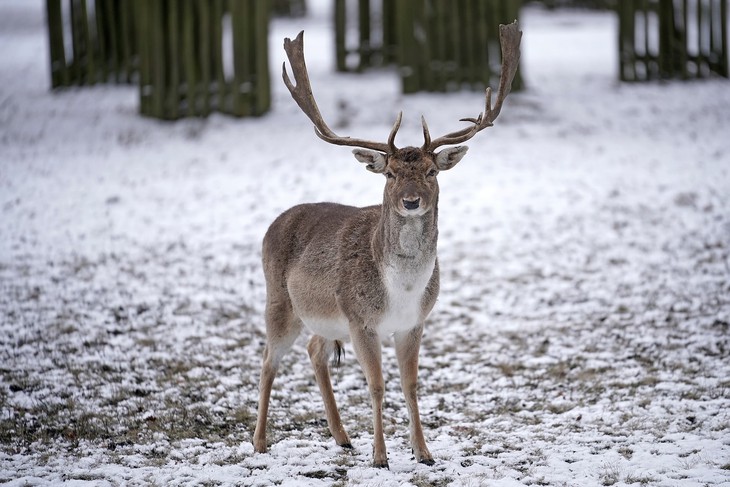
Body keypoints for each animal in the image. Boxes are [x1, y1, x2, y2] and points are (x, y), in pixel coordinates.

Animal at [253, 21, 520, 468]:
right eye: (390, 173)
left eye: (431, 171)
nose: (411, 201)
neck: (402, 290)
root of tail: (273, 224)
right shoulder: (361, 320)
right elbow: (377, 386)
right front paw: (380, 456)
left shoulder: (414, 322)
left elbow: (411, 385)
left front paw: (423, 452)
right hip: (279, 300)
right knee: (268, 361)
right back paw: (258, 443)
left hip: (327, 318)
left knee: (314, 349)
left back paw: (342, 437)